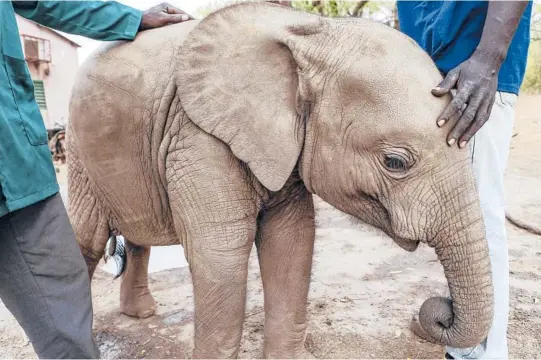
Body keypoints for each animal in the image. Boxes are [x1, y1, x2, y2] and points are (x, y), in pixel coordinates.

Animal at [66, 2, 494, 358]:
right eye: (395, 162)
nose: (438, 311)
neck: (312, 33)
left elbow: (291, 239)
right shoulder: (197, 136)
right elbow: (221, 253)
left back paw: (141, 314)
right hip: (78, 152)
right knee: (85, 239)